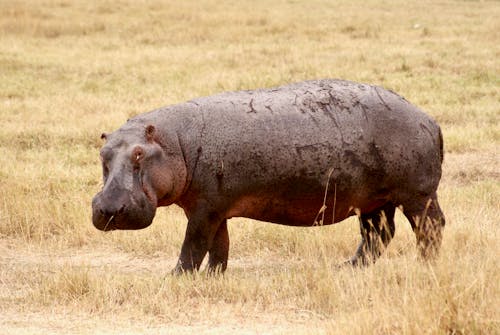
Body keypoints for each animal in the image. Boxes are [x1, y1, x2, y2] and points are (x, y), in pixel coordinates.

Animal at [91, 80, 446, 274]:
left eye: (139, 154)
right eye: (103, 153)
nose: (108, 209)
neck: (176, 142)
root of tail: (428, 118)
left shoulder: (204, 210)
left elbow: (193, 245)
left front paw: (175, 277)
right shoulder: (214, 209)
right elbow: (219, 247)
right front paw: (213, 277)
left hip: (417, 195)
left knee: (429, 227)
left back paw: (425, 266)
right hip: (373, 200)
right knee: (377, 235)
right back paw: (347, 268)